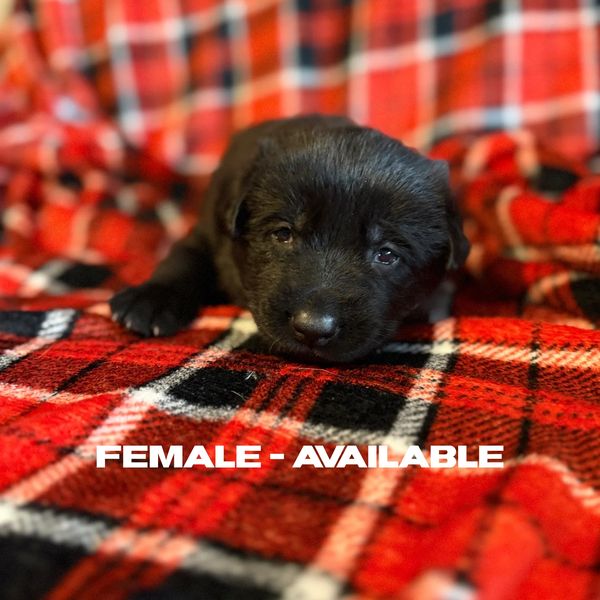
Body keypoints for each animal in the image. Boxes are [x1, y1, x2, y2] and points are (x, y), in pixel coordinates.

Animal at [110, 115, 469, 362]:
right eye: (283, 233)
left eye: (387, 254)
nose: (313, 328)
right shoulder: (209, 232)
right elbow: (184, 259)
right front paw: (149, 300)